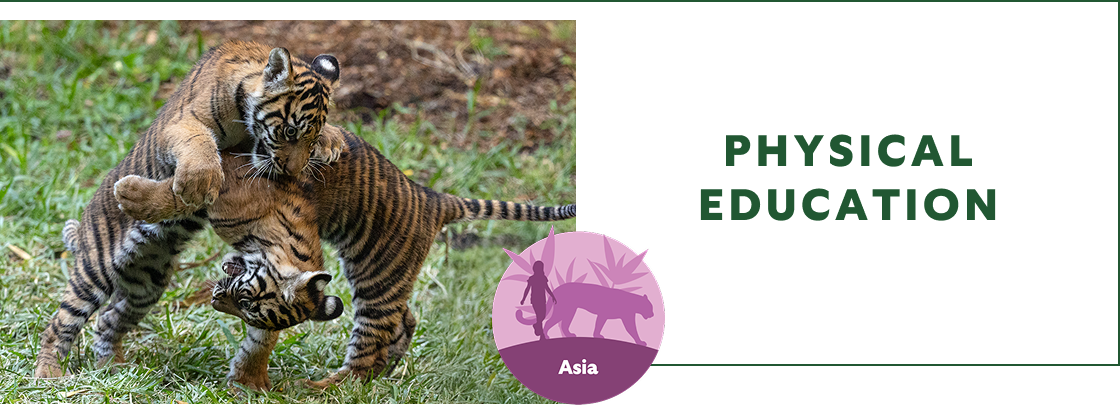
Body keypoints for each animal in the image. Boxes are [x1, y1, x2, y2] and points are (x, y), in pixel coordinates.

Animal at [34, 40, 345, 379]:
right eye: (289, 132)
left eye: (310, 138)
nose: (290, 173)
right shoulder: (183, 123)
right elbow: (197, 143)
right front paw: (197, 181)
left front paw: (332, 140)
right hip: (95, 269)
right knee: (60, 323)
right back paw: (48, 372)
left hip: (146, 286)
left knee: (108, 321)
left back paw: (112, 367)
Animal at [114, 123, 576, 391]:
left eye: (246, 306)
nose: (214, 300)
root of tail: (434, 199)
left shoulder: (227, 189)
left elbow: (180, 193)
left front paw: (131, 194)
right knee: (407, 320)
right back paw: (390, 365)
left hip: (377, 279)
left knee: (366, 355)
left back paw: (322, 387)